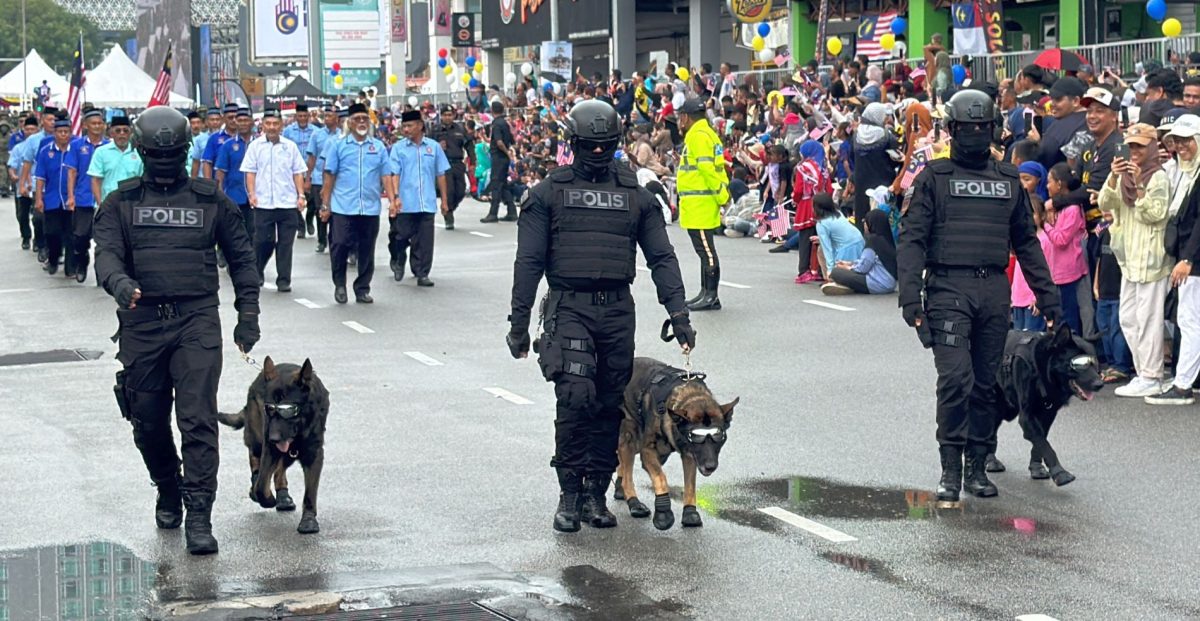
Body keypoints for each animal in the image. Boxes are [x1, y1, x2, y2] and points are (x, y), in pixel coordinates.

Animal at [218, 357, 331, 537]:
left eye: (288, 409)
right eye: (269, 408)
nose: (273, 438)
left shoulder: (314, 455)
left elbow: (310, 492)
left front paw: (308, 520)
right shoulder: (270, 450)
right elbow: (261, 485)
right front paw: (266, 498)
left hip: (286, 452)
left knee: (279, 470)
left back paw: (282, 494)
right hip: (258, 439)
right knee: (255, 458)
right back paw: (257, 482)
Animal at [614, 359, 734, 529]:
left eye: (719, 438)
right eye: (696, 438)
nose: (710, 466)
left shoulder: (689, 456)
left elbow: (690, 485)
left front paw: (690, 512)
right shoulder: (648, 452)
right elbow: (661, 477)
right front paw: (663, 512)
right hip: (630, 437)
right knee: (627, 474)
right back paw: (634, 503)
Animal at [988, 328, 1099, 489]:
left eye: (1094, 363)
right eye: (1079, 364)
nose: (1100, 384)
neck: (1041, 367)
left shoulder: (1049, 413)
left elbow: (1041, 440)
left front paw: (1036, 467)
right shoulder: (1027, 416)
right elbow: (1043, 443)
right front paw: (1059, 472)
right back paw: (989, 459)